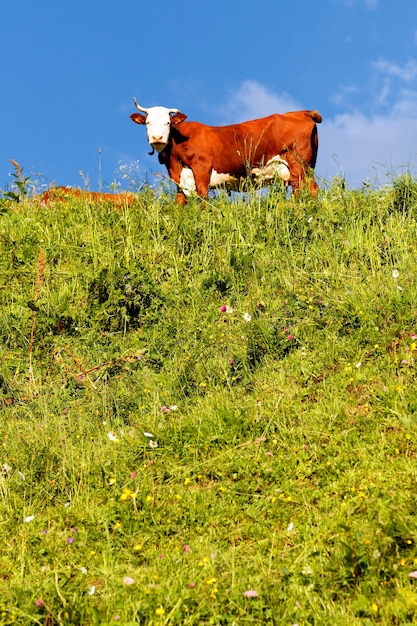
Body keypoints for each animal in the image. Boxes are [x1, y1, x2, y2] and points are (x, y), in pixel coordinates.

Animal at [130, 97, 322, 204]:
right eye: (147, 123)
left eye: (168, 123)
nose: (157, 138)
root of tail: (300, 112)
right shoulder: (179, 177)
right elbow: (180, 201)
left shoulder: (202, 168)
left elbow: (202, 196)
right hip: (307, 167)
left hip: (298, 164)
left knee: (303, 190)